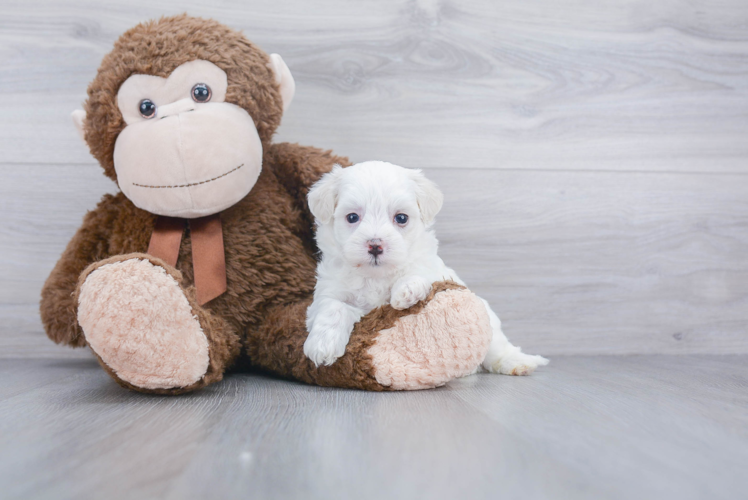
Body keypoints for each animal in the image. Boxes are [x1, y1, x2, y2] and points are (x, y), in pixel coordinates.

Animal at [304, 160, 548, 376]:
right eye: (352, 217)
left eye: (401, 218)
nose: (375, 245)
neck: (376, 276)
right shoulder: (328, 293)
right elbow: (333, 308)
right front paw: (322, 345)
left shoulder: (432, 270)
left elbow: (417, 274)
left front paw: (406, 291)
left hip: (490, 325)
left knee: (497, 347)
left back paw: (517, 362)